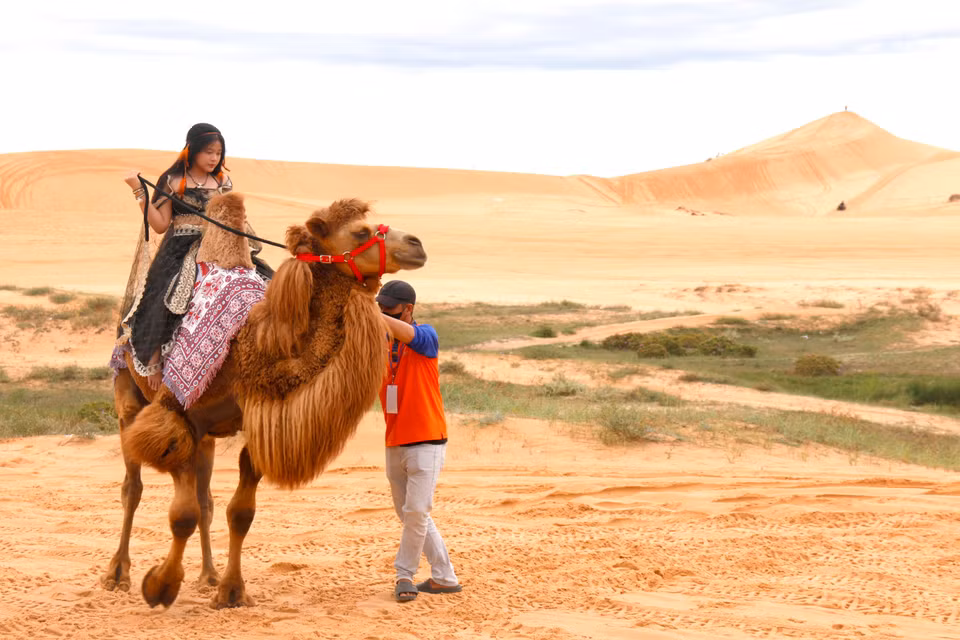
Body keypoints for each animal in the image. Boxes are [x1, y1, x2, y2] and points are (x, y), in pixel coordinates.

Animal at [101, 192, 426, 609]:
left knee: (205, 499)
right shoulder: (176, 414)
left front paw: (231, 591)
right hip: (128, 393)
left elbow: (239, 512)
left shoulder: (248, 423)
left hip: (207, 437)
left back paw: (207, 575)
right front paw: (159, 587)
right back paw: (117, 575)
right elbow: (183, 514)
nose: (417, 244)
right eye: (360, 231)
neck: (247, 346)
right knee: (133, 487)